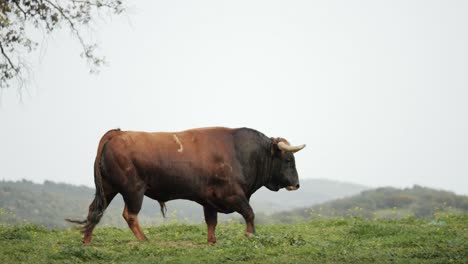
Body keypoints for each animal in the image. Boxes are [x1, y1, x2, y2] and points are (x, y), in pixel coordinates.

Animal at [66, 127, 308, 244]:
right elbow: (250, 213)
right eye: (288, 160)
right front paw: (250, 236)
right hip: (133, 190)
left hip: (109, 188)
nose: (296, 184)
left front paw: (212, 242)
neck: (241, 152)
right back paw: (145, 240)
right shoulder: (233, 194)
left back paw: (86, 241)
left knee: (95, 210)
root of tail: (118, 133)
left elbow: (211, 222)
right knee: (130, 215)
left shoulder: (209, 200)